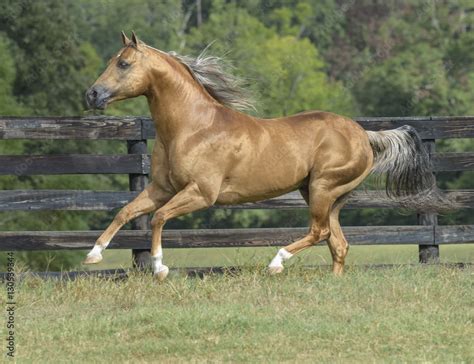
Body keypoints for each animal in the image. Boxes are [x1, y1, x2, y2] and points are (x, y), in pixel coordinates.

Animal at [86, 33, 448, 278]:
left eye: (123, 63)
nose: (91, 94)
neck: (193, 127)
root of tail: (364, 135)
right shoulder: (161, 188)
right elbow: (126, 211)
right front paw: (93, 255)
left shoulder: (201, 193)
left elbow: (158, 217)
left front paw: (160, 268)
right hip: (325, 195)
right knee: (338, 242)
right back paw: (332, 281)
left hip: (322, 188)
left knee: (320, 232)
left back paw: (276, 263)